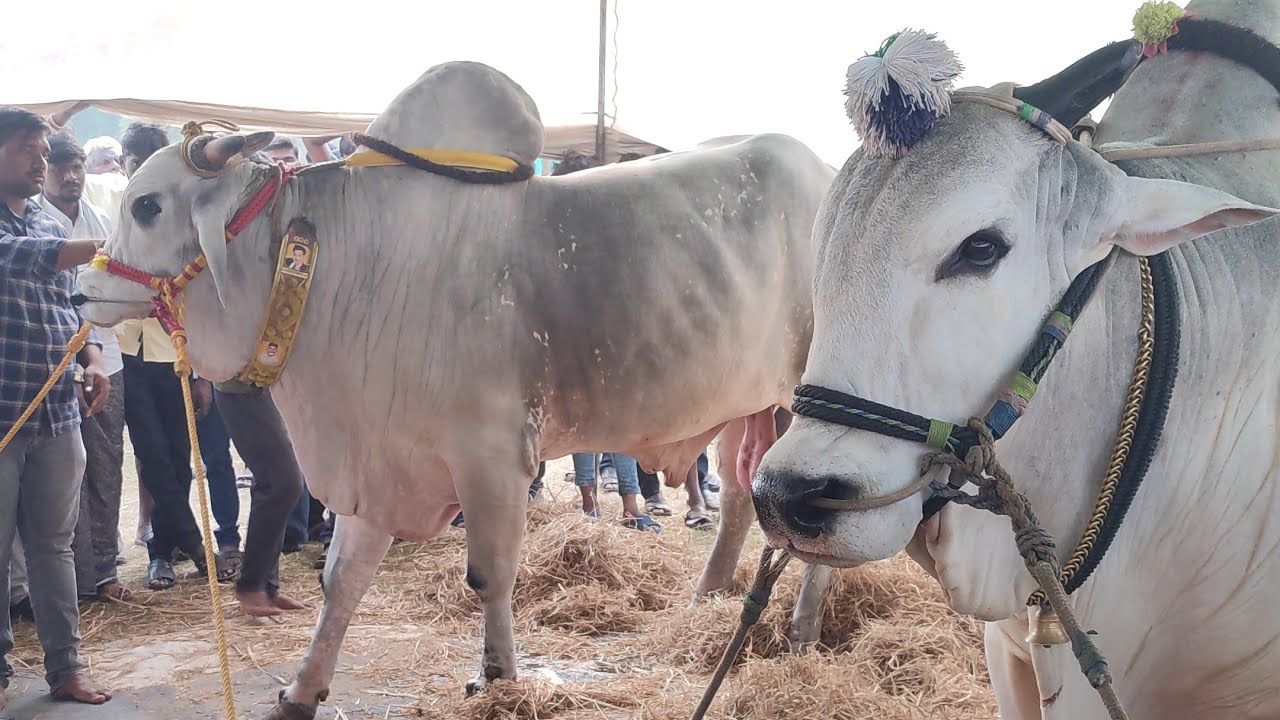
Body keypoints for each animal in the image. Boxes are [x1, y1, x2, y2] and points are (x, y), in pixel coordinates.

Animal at [75, 61, 836, 718]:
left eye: (147, 206)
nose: (82, 290)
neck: (340, 264)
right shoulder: (379, 458)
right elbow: (340, 580)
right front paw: (301, 690)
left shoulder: (491, 457)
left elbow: (488, 576)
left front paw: (498, 677)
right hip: (745, 404)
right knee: (738, 498)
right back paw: (707, 600)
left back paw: (801, 629)